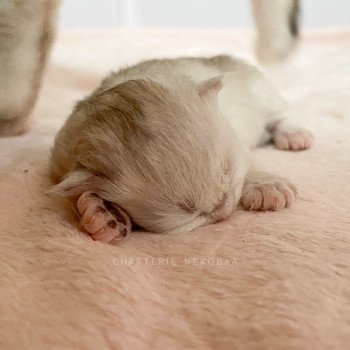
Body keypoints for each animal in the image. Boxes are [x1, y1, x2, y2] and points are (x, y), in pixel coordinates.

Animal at [48, 56, 312, 242]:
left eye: (226, 170)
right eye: (189, 211)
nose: (222, 208)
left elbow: (248, 161)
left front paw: (267, 186)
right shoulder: (62, 160)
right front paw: (106, 215)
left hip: (261, 90)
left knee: (278, 116)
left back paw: (294, 135)